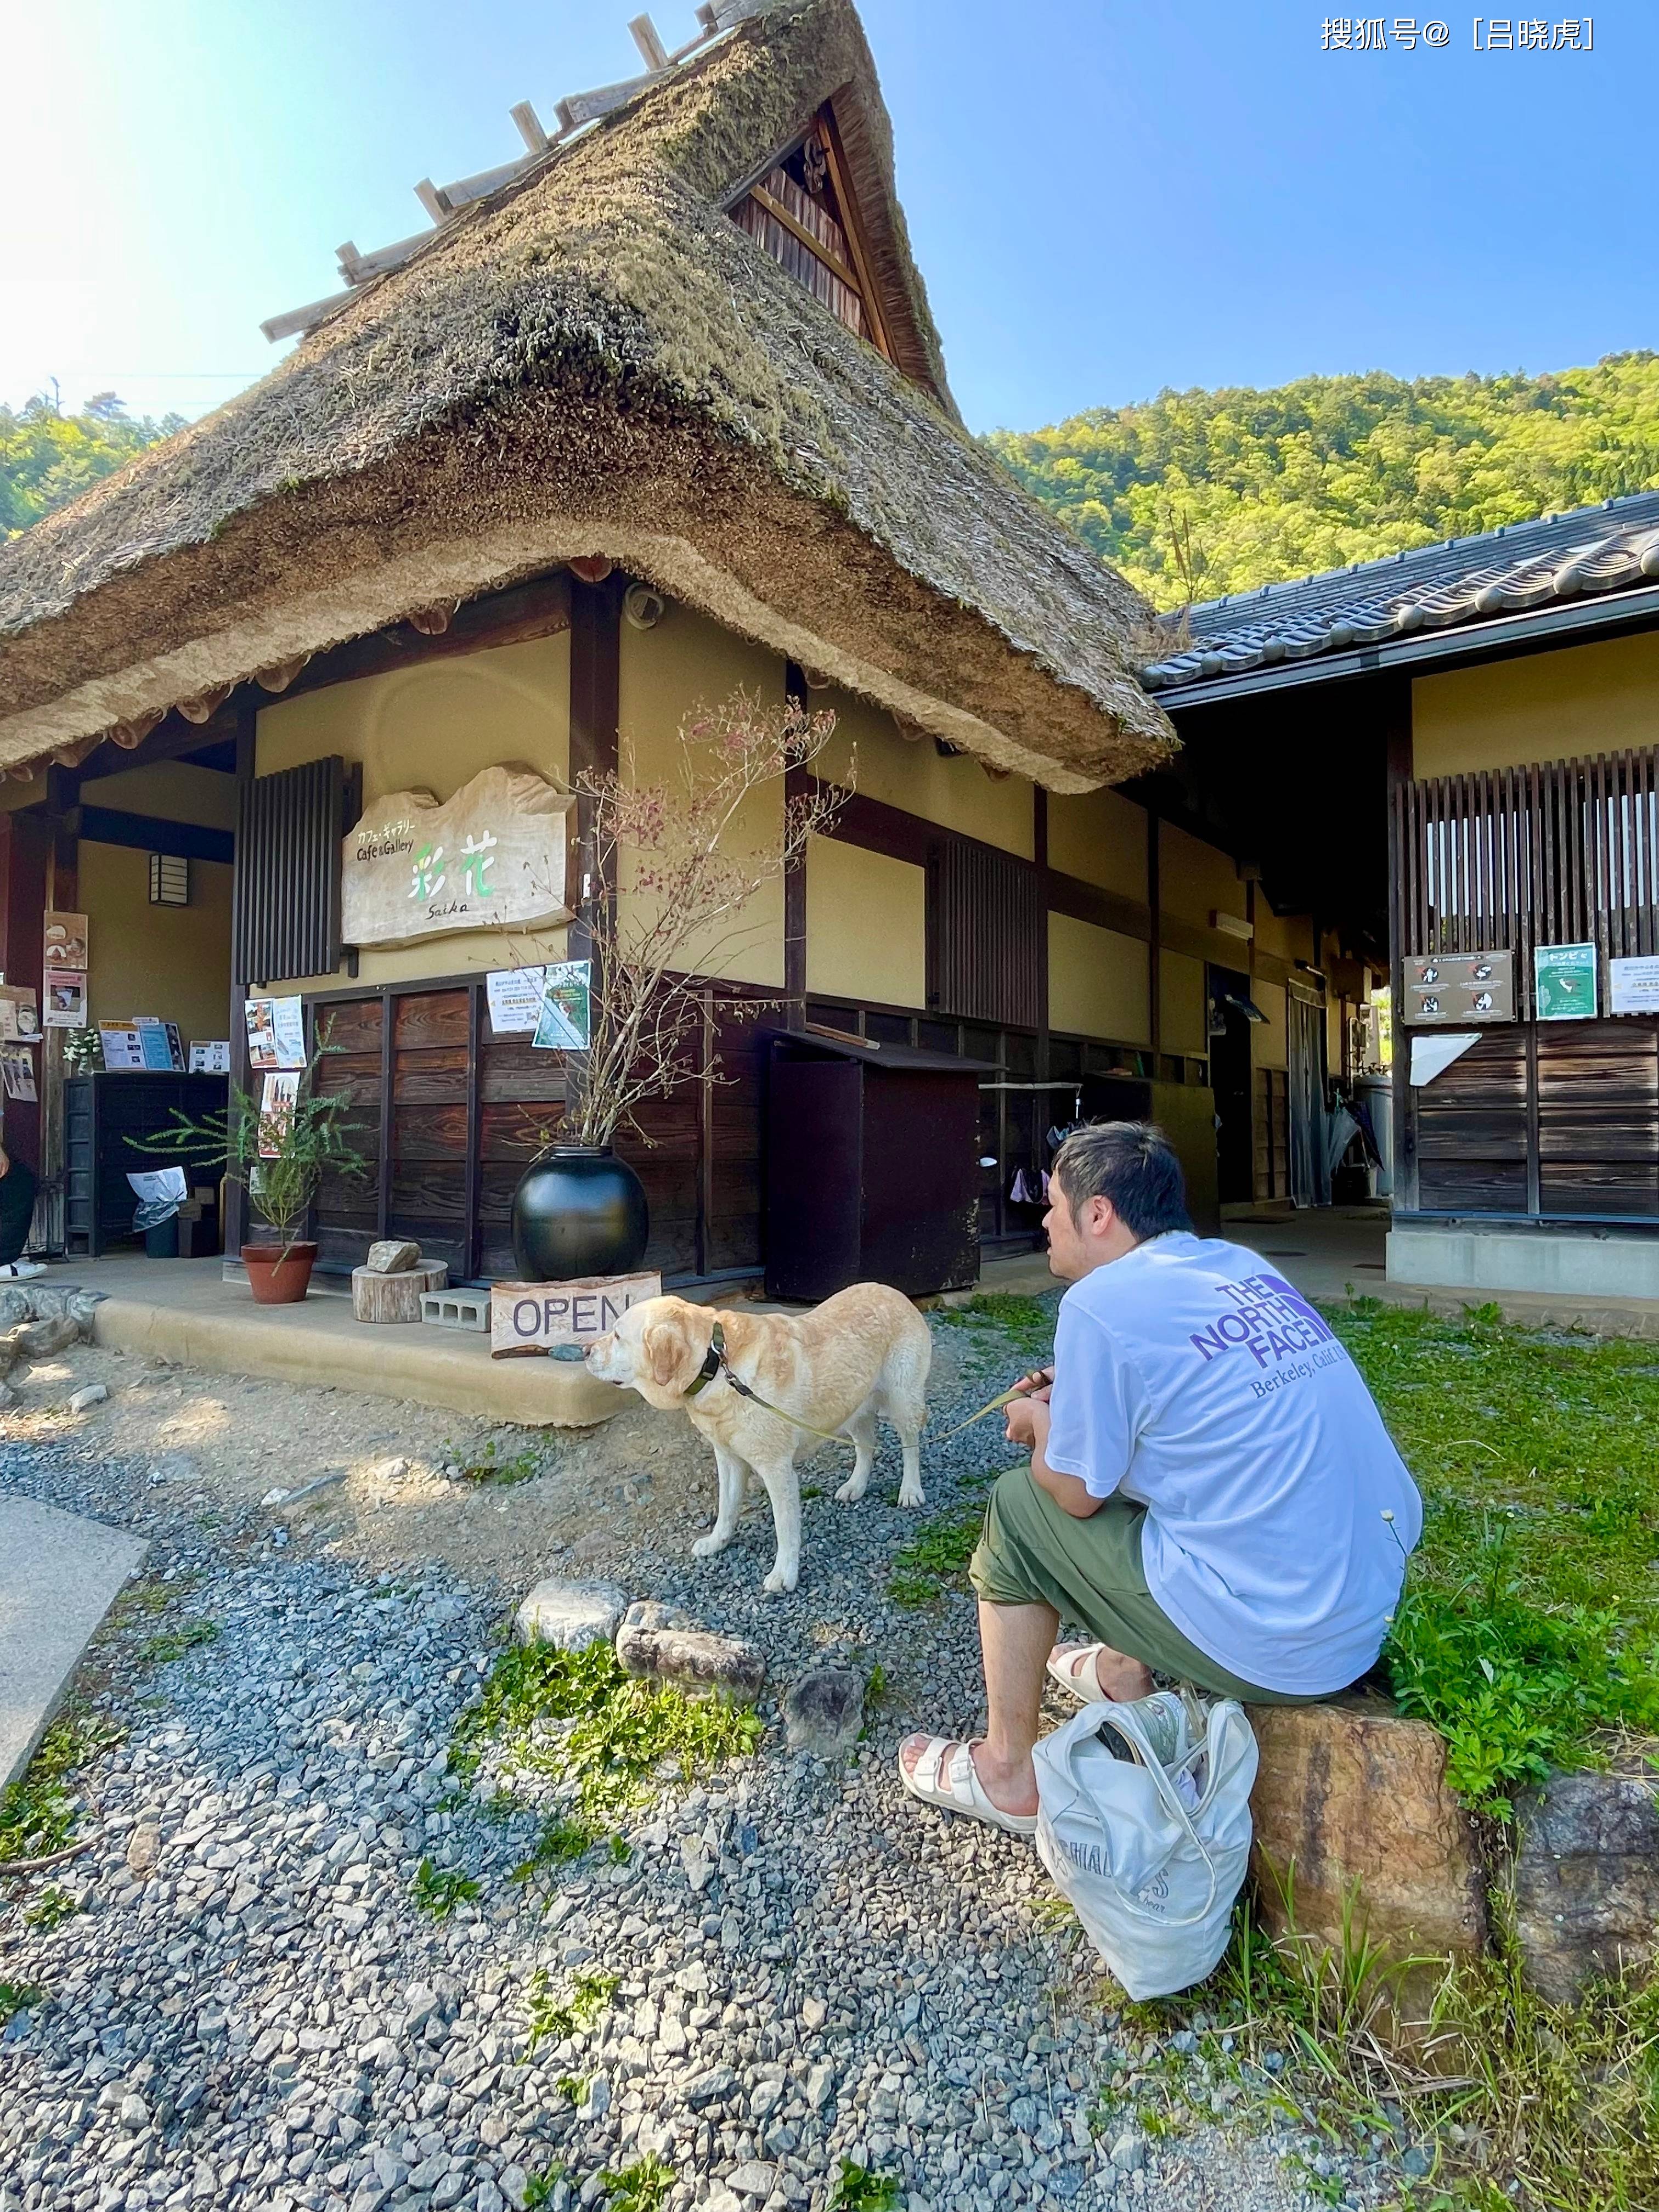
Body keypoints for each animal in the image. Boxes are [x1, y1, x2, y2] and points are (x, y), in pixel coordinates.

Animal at [592, 1291, 938, 1601]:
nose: (585, 1349)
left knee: (911, 1446)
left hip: (903, 1399)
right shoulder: (728, 1459)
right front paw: (717, 1542)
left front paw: (784, 1574)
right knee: (867, 1445)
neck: (715, 1365)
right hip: (851, 1405)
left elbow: (785, 1528)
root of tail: (897, 1294)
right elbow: (727, 1508)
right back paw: (856, 1486)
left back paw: (910, 1490)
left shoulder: (777, 1470)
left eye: (618, 1335)